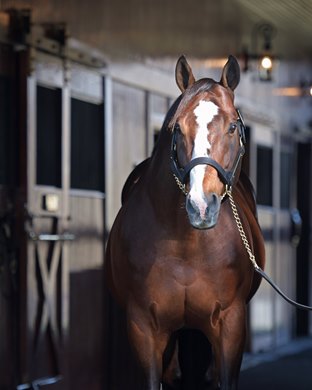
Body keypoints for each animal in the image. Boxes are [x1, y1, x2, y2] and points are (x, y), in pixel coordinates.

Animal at [105, 55, 266, 390]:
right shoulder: (143, 329)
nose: (201, 206)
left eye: (233, 126)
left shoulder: (230, 326)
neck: (186, 246)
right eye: (177, 128)